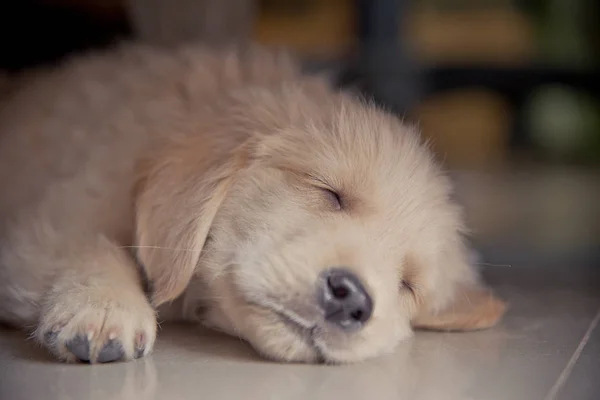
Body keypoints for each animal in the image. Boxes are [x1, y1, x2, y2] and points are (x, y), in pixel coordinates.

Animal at [0, 43, 506, 362]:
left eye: (408, 285)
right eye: (330, 193)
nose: (351, 300)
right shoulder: (60, 206)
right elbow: (87, 242)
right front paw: (105, 306)